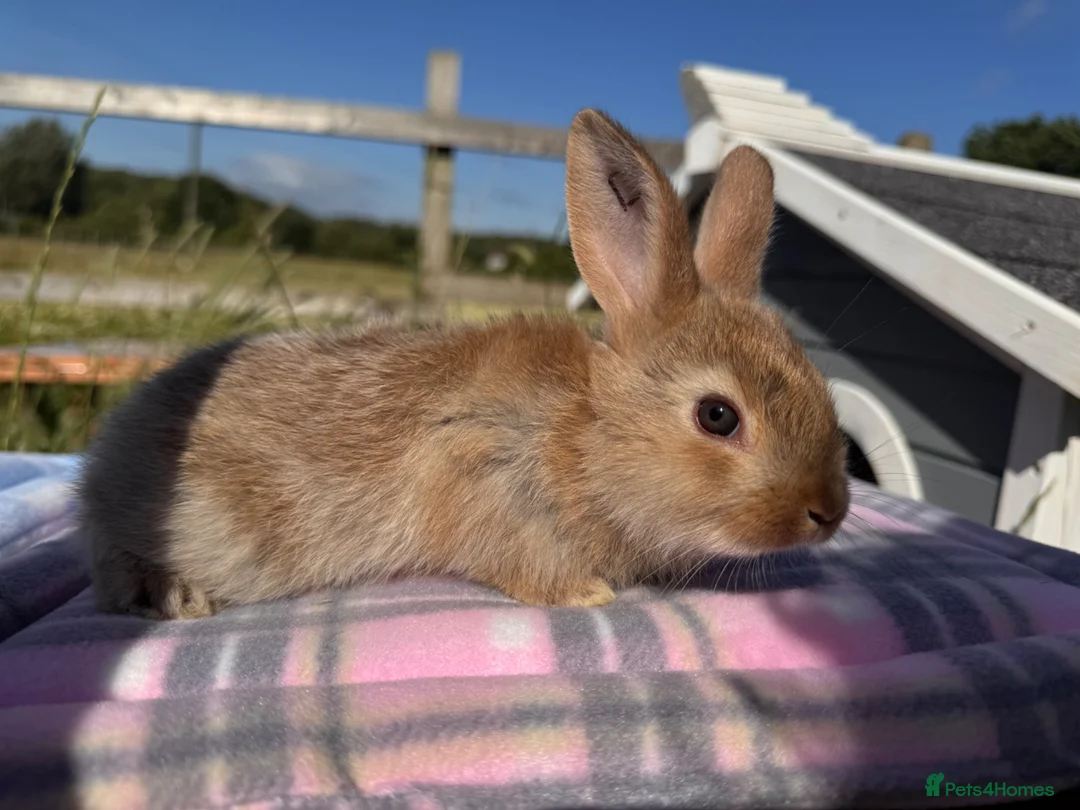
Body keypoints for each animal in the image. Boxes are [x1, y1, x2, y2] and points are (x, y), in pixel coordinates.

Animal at [76, 109, 851, 620]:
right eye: (718, 416)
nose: (828, 513)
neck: (585, 430)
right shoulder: (487, 478)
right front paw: (589, 593)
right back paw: (176, 596)